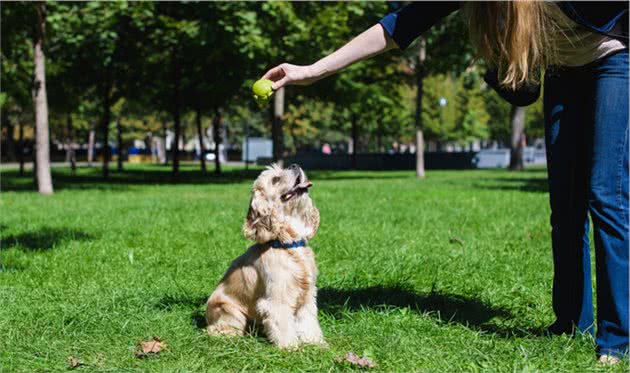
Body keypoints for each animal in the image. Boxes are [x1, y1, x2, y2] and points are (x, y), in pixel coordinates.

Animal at [207, 164, 326, 348]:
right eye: (275, 179)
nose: (295, 165)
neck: (288, 244)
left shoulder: (307, 296)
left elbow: (308, 323)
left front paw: (317, 345)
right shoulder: (277, 299)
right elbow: (284, 327)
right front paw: (291, 349)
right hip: (231, 312)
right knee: (216, 331)